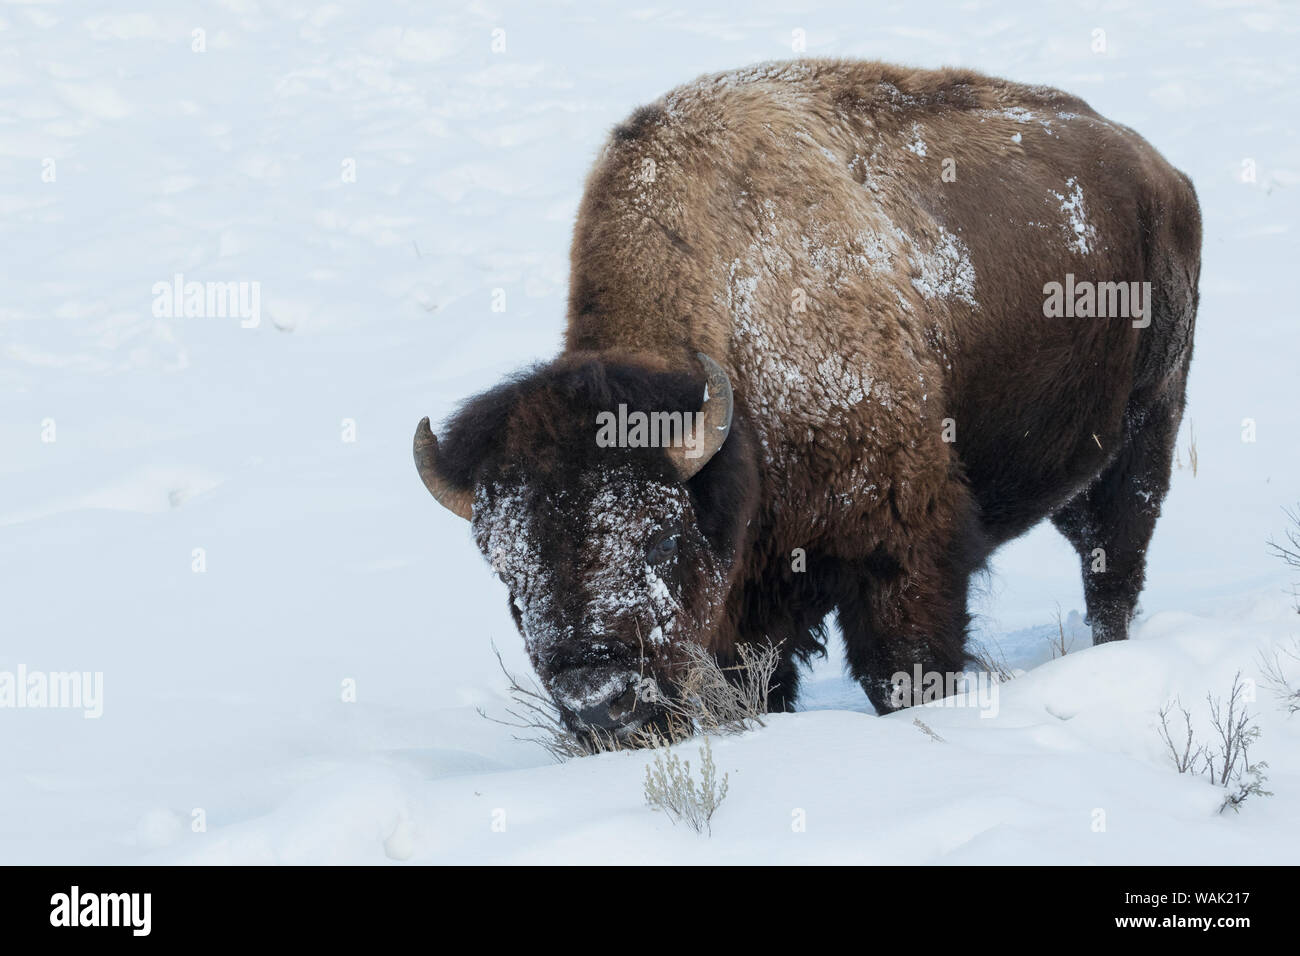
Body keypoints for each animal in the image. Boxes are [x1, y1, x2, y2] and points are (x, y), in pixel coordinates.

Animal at [414, 59, 1201, 740]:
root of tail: (1161, 172)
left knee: (1114, 562)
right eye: (509, 578)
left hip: (1146, 434)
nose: (599, 704)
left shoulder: (901, 554)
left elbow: (904, 668)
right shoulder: (750, 607)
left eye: (661, 536)